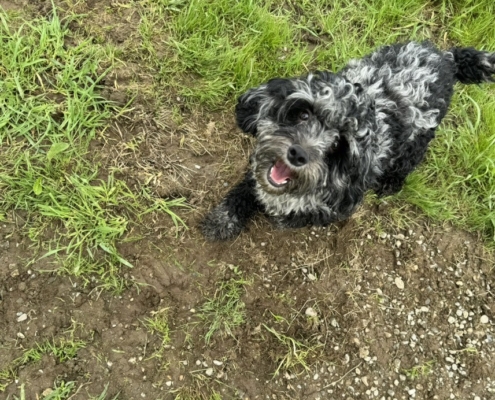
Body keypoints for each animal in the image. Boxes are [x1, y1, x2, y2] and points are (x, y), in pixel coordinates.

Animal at [202, 40, 495, 241]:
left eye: (337, 145)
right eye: (303, 113)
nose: (298, 154)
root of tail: (445, 58)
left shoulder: (338, 203)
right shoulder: (257, 173)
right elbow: (245, 190)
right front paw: (223, 220)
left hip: (420, 138)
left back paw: (391, 182)